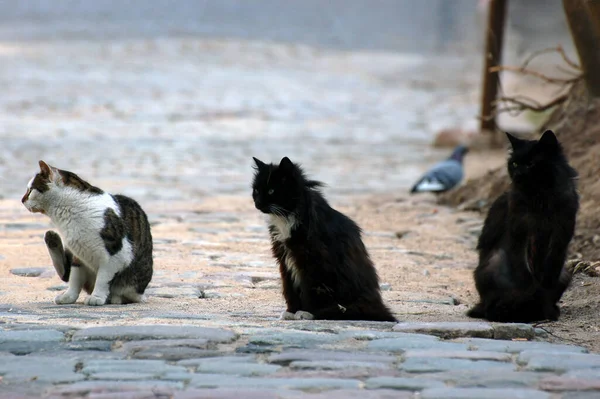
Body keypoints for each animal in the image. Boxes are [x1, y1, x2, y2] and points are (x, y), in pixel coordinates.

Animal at [22, 161, 155, 304]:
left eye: (30, 190)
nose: (22, 200)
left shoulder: (116, 255)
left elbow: (103, 278)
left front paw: (97, 297)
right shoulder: (78, 255)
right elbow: (75, 278)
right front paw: (69, 296)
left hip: (132, 282)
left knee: (123, 294)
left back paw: (113, 298)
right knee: (65, 271)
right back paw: (52, 239)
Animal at [251, 156, 396, 322]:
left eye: (271, 191)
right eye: (256, 190)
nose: (257, 203)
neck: (288, 216)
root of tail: (377, 305)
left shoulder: (314, 261)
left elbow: (309, 289)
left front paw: (307, 312)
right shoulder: (284, 259)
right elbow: (289, 288)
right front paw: (291, 311)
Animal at [468, 130, 576, 324]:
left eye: (531, 164)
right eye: (515, 163)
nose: (518, 174)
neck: (541, 198)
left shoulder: (560, 237)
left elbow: (548, 278)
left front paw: (545, 309)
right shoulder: (520, 234)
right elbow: (524, 276)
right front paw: (528, 302)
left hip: (566, 273)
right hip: (494, 261)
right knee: (490, 302)